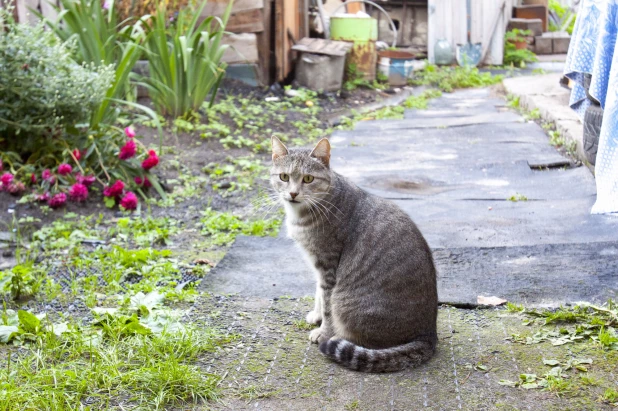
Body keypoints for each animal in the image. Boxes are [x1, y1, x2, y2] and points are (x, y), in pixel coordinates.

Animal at [270, 138, 438, 374]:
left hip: (347, 302)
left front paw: (323, 331)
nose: (293, 194)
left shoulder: (328, 264)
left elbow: (327, 304)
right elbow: (318, 294)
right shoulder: (317, 264)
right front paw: (316, 315)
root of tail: (428, 334)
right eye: (284, 177)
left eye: (308, 179)